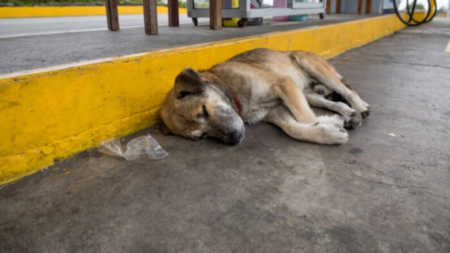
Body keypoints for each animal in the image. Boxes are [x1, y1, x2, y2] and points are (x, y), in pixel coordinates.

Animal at [160, 48, 370, 145]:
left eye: (204, 111)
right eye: (201, 136)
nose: (235, 138)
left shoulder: (283, 84)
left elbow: (304, 117)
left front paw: (329, 124)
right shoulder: (275, 110)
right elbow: (293, 128)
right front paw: (327, 129)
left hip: (309, 64)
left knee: (348, 91)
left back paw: (359, 106)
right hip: (304, 92)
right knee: (330, 102)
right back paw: (347, 114)